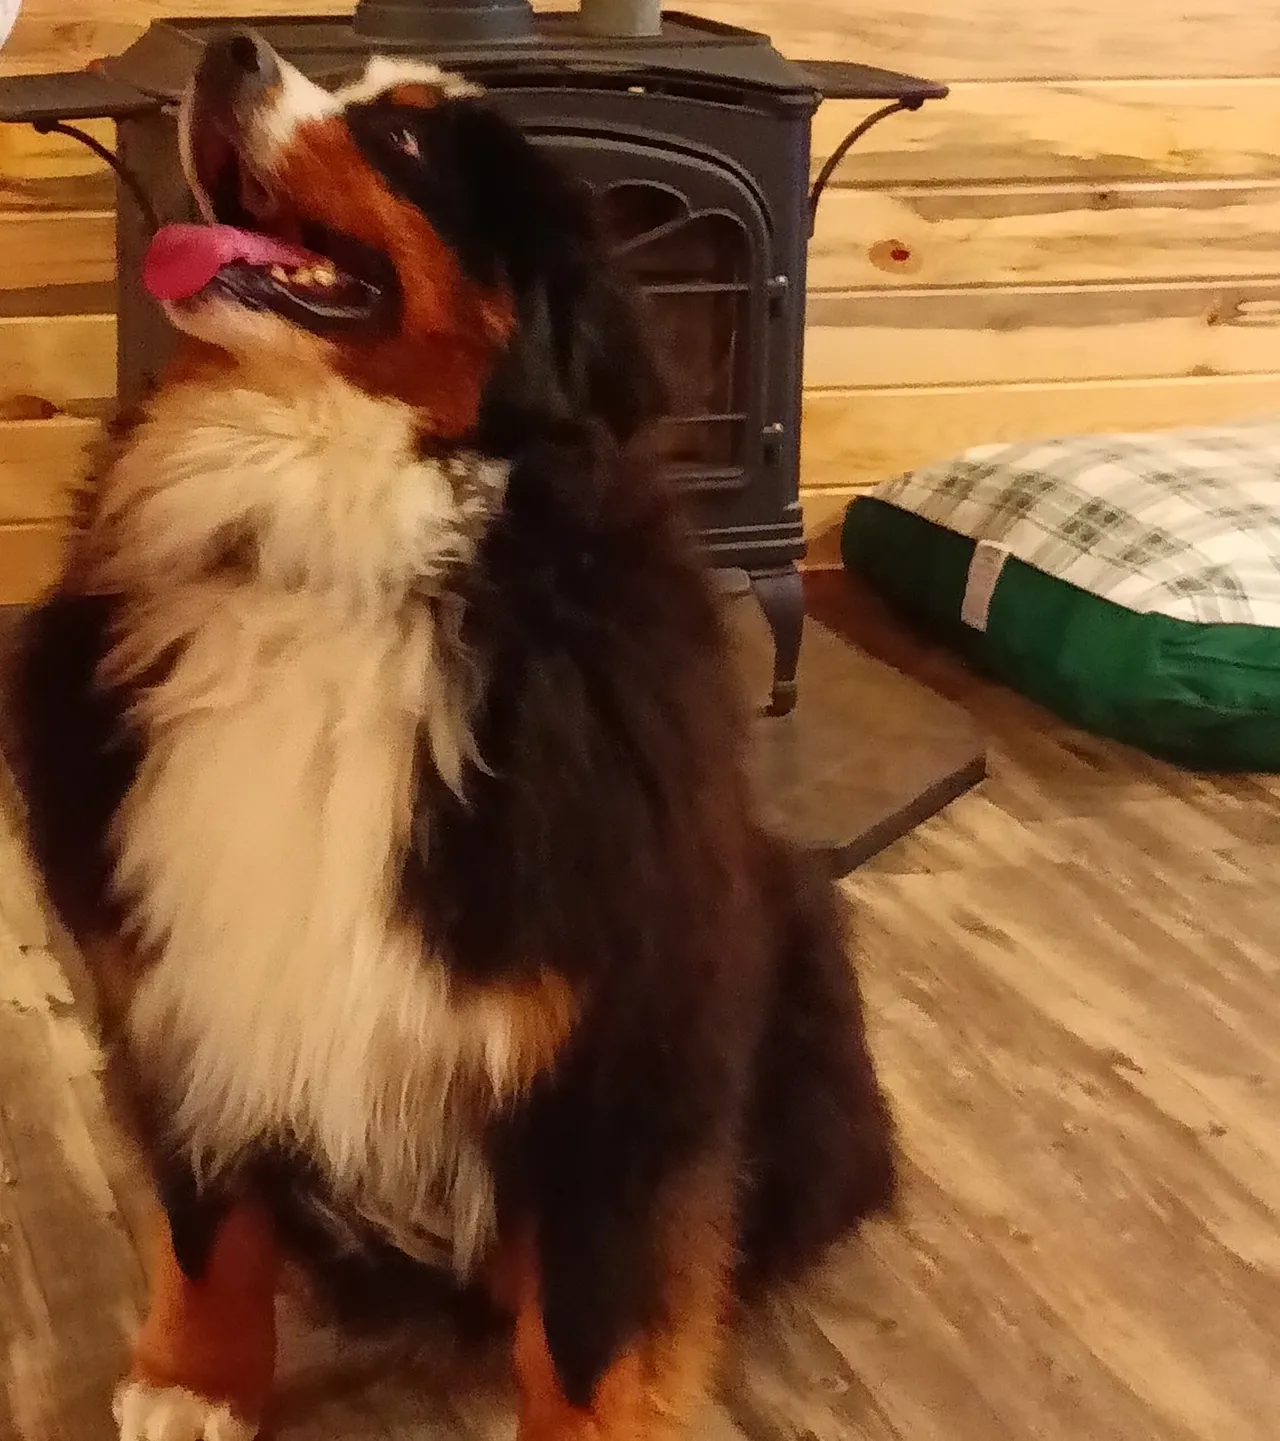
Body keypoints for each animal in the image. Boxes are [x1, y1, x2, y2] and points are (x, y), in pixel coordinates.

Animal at [10, 30, 893, 1441]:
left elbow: (585, 1317)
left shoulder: (608, 1034)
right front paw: (195, 1380)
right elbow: (211, 1224)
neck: (329, 546)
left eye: (406, 140)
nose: (228, 47)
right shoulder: (186, 982)